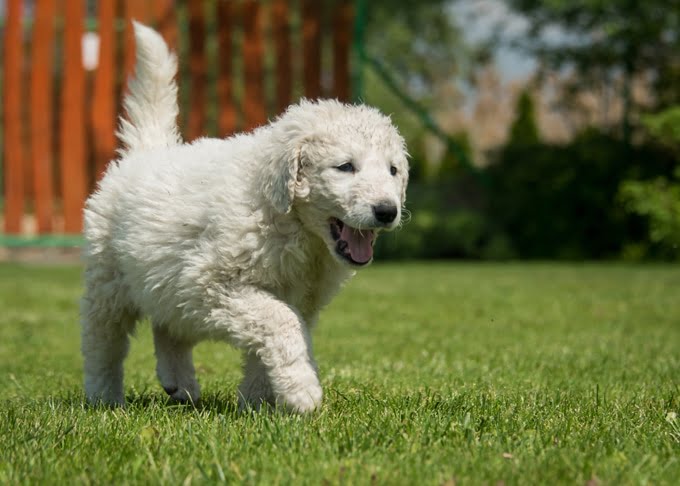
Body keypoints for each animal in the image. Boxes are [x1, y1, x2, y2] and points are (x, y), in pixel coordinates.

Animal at [79, 21, 410, 410]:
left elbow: (270, 341)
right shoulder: (213, 282)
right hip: (109, 282)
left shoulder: (298, 297)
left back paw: (180, 384)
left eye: (393, 170)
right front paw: (302, 391)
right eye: (346, 167)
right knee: (103, 343)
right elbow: (281, 322)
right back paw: (104, 396)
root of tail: (146, 151)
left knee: (169, 328)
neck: (289, 222)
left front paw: (258, 401)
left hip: (166, 280)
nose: (387, 210)